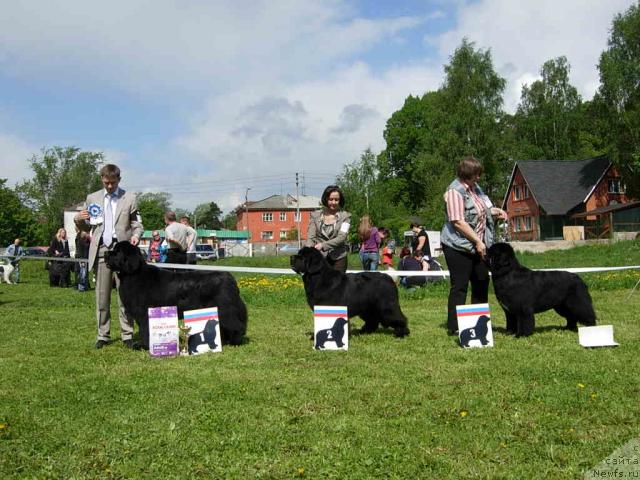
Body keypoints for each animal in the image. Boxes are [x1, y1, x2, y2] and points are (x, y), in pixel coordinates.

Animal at [105, 240, 248, 348]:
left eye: (118, 252)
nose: (106, 253)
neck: (134, 274)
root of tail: (229, 277)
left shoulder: (144, 313)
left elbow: (145, 330)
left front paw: (143, 346)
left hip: (226, 309)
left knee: (236, 325)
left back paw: (235, 341)